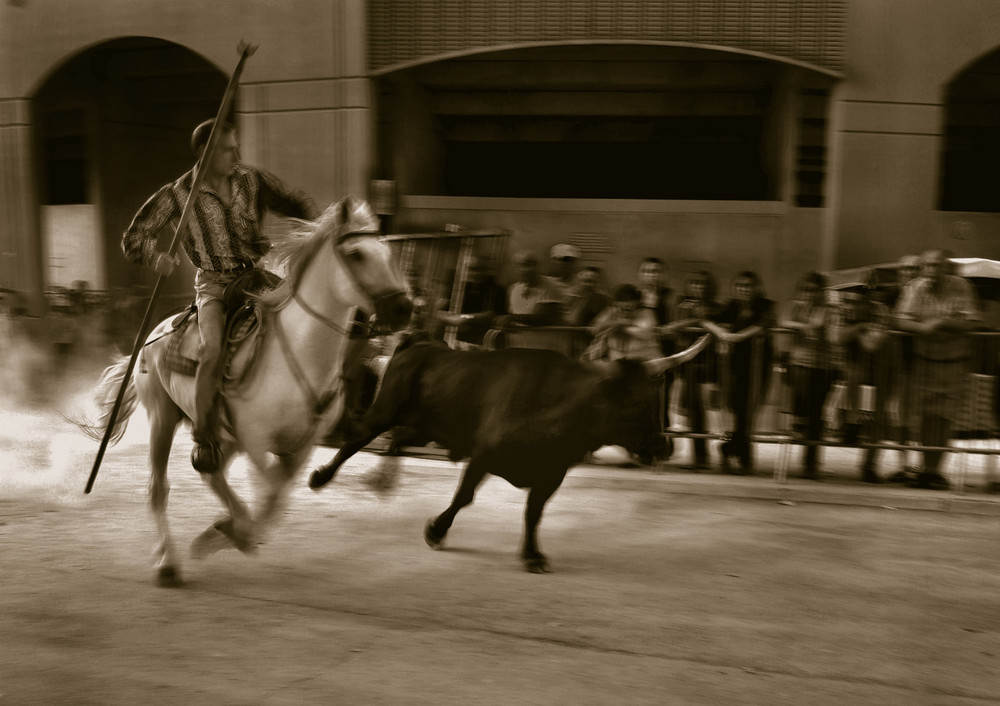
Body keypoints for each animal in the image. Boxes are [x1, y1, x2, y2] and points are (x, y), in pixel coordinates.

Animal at [86, 195, 410, 584]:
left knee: (211, 473)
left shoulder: (303, 444)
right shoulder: (256, 439)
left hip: (220, 433)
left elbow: (276, 499)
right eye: (357, 254)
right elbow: (269, 493)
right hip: (162, 418)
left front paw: (225, 534)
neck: (300, 353)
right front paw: (236, 533)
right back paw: (168, 562)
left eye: (388, 253)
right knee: (159, 488)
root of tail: (156, 331)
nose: (404, 308)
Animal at [308, 336, 708, 572]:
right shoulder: (484, 454)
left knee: (396, 441)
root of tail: (417, 345)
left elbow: (533, 513)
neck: (563, 405)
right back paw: (320, 477)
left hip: (424, 424)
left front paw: (533, 555)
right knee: (357, 439)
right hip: (385, 410)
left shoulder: (551, 473)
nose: (665, 446)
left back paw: (382, 481)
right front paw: (436, 530)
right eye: (635, 400)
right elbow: (464, 496)